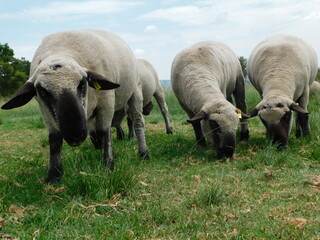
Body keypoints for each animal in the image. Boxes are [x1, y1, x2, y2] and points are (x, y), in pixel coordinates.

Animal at [1, 29, 149, 183]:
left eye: (83, 83)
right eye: (42, 91)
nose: (75, 136)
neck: (60, 50)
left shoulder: (106, 101)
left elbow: (105, 131)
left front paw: (108, 165)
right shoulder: (45, 112)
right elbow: (54, 140)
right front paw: (54, 175)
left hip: (135, 90)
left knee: (137, 122)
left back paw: (143, 153)